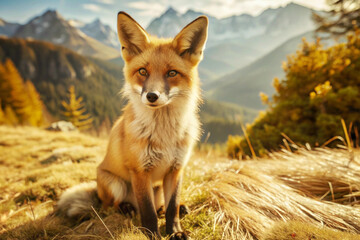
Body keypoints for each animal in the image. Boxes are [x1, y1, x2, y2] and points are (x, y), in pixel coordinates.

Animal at [56, 11, 208, 240]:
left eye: (172, 73)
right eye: (143, 71)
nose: (152, 96)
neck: (164, 136)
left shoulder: (176, 169)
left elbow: (171, 207)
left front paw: (175, 231)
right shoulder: (140, 171)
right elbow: (147, 211)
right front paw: (152, 234)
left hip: (158, 187)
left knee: (162, 205)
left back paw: (177, 208)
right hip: (116, 184)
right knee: (112, 205)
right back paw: (126, 208)